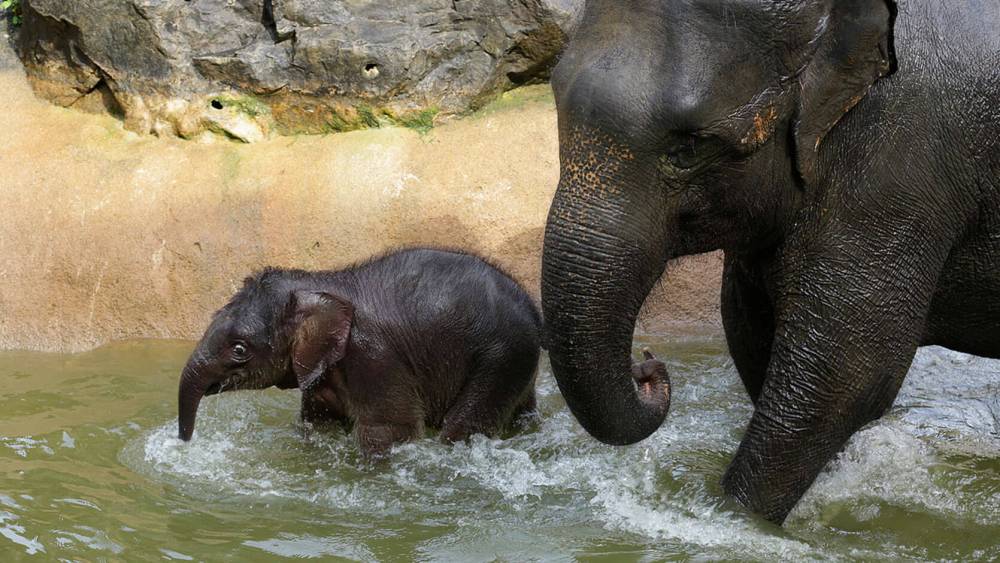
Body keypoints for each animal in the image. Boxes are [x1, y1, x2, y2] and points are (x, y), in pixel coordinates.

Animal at [177, 248, 541, 458]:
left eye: (239, 349)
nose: (184, 443)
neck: (321, 282)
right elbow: (316, 424)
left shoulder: (374, 358)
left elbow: (388, 431)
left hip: (502, 356)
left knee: (462, 426)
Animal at [541, 0, 999, 523]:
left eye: (689, 148)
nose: (648, 364)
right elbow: (750, 329)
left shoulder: (897, 171)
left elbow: (847, 371)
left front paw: (738, 518)